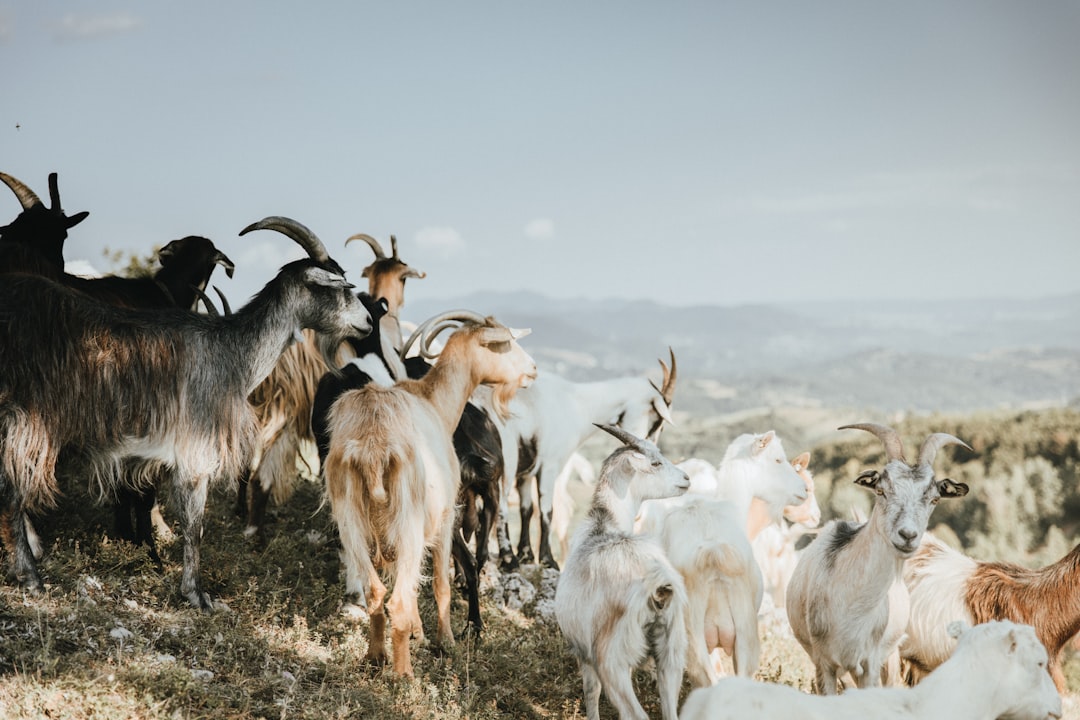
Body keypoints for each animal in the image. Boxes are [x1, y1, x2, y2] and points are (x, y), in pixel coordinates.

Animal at [0, 216, 371, 609]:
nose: (367, 322)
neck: (231, 353)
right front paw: (196, 593)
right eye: (340, 286)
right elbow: (194, 525)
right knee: (11, 491)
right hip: (27, 417)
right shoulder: (195, 451)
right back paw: (31, 576)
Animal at [323, 311, 536, 676]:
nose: (533, 369)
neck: (433, 401)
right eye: (506, 343)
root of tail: (372, 445)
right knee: (396, 599)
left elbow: (411, 583)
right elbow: (440, 584)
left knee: (376, 592)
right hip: (406, 518)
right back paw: (404, 674)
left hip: (351, 521)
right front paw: (444, 639)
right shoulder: (444, 517)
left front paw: (418, 633)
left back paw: (376, 657)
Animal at [494, 351, 677, 570]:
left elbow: (526, 509)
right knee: (501, 505)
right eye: (658, 420)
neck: (576, 402)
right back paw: (508, 559)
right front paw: (548, 560)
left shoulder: (527, 473)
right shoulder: (549, 465)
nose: (648, 446)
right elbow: (547, 511)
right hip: (507, 463)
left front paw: (527, 555)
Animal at [555, 423, 690, 720]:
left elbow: (591, 691)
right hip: (671, 654)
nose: (686, 479)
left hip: (612, 661)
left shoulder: (584, 651)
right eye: (655, 462)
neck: (604, 523)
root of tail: (658, 587)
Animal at [785, 423, 972, 694]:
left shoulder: (870, 662)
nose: (907, 535)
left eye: (934, 499)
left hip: (891, 656)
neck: (852, 605)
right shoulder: (824, 663)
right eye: (881, 490)